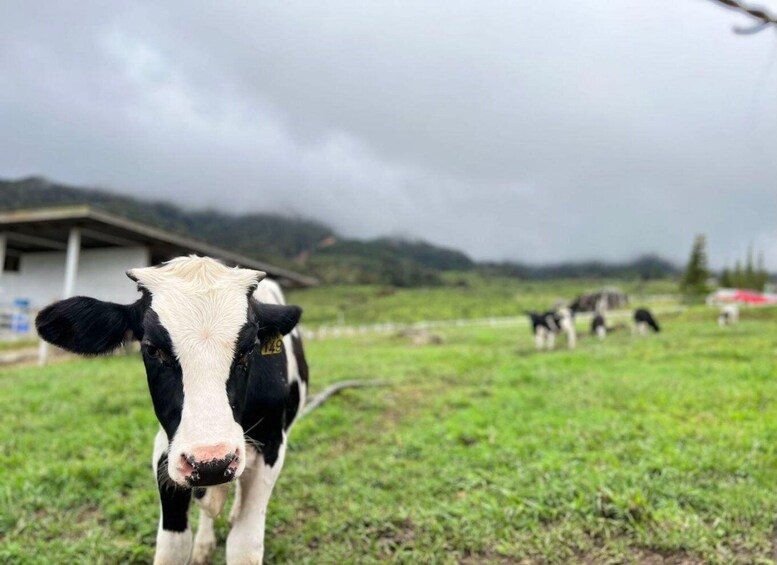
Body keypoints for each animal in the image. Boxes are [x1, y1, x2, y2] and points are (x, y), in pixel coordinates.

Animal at [35, 256, 308, 565]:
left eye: (249, 349)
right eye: (153, 349)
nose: (211, 462)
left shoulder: (271, 445)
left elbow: (244, 545)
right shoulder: (167, 449)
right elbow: (173, 546)